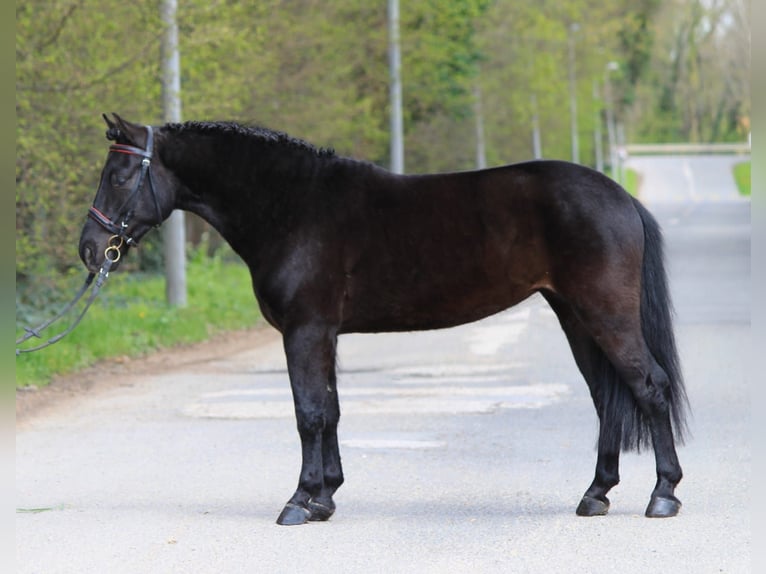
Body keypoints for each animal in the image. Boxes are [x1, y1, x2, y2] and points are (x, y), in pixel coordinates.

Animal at [78, 113, 688, 528]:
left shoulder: (304, 332)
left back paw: (663, 495)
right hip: (575, 317)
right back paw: (596, 494)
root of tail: (620, 197)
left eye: (121, 173)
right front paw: (325, 496)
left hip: (603, 314)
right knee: (607, 398)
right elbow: (330, 411)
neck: (293, 207)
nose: (89, 248)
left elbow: (309, 415)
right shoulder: (323, 334)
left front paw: (299, 501)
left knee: (649, 387)